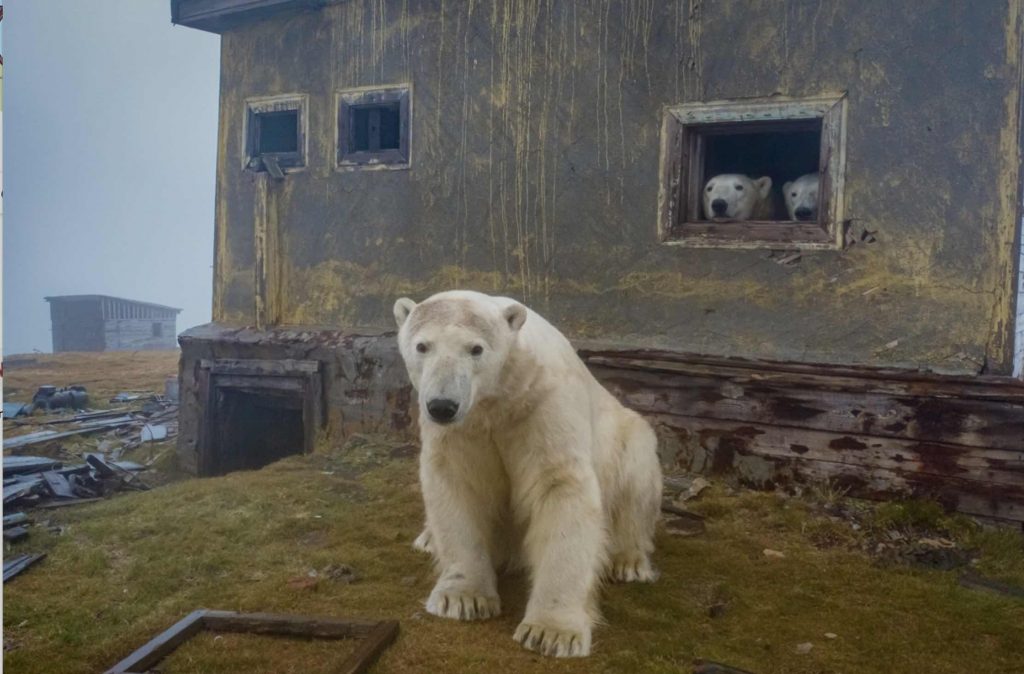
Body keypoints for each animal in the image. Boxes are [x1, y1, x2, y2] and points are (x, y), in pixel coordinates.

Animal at [391, 290, 663, 655]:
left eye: (476, 349)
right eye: (422, 346)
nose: (443, 406)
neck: (498, 399)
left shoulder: (542, 406)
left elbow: (559, 487)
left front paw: (552, 632)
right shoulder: (463, 430)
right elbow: (457, 485)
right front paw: (462, 599)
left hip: (626, 437)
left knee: (636, 477)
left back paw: (629, 561)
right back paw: (428, 539)